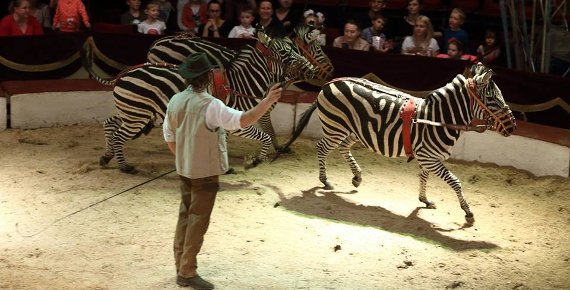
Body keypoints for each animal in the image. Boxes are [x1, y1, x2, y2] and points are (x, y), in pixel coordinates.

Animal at [82, 30, 326, 173]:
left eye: (296, 49)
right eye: (286, 53)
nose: (315, 70)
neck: (243, 82)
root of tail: (123, 74)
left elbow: (232, 140)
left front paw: (225, 166)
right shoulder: (236, 122)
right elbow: (264, 135)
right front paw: (255, 161)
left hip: (132, 112)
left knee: (110, 124)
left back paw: (107, 156)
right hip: (137, 115)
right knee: (118, 134)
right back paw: (124, 166)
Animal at [272, 62, 516, 224]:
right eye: (492, 99)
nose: (513, 127)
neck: (438, 118)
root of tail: (329, 84)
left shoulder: (427, 158)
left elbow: (424, 177)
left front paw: (424, 199)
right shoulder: (429, 157)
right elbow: (455, 182)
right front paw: (467, 212)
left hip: (353, 130)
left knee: (343, 147)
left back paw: (357, 176)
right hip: (335, 127)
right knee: (322, 148)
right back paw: (325, 181)